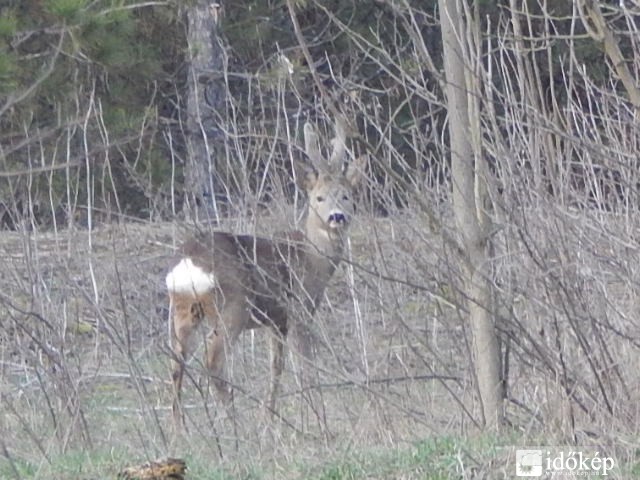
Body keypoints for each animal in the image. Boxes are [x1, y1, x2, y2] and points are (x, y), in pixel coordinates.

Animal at [165, 117, 364, 424]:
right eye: (318, 198)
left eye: (346, 196)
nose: (337, 217)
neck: (310, 259)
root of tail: (189, 262)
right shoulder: (299, 310)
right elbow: (304, 365)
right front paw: (315, 415)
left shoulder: (276, 321)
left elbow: (276, 367)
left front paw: (269, 417)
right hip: (232, 306)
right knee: (213, 360)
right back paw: (232, 422)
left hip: (182, 308)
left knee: (176, 363)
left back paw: (179, 429)